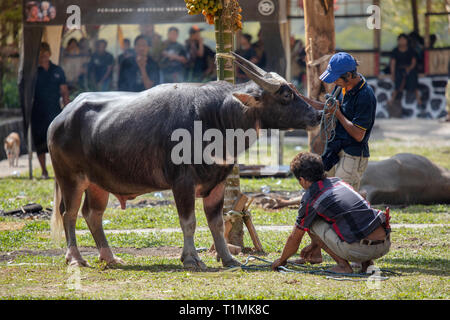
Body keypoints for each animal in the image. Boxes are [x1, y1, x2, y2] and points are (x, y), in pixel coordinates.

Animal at [48, 52, 320, 270]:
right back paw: (75, 258)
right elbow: (189, 222)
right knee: (69, 213)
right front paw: (191, 259)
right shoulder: (182, 183)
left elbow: (217, 223)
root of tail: (60, 118)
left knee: (92, 214)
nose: (317, 114)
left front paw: (228, 259)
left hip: (98, 183)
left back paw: (110, 257)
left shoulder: (217, 183)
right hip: (70, 179)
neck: (215, 118)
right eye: (286, 94)